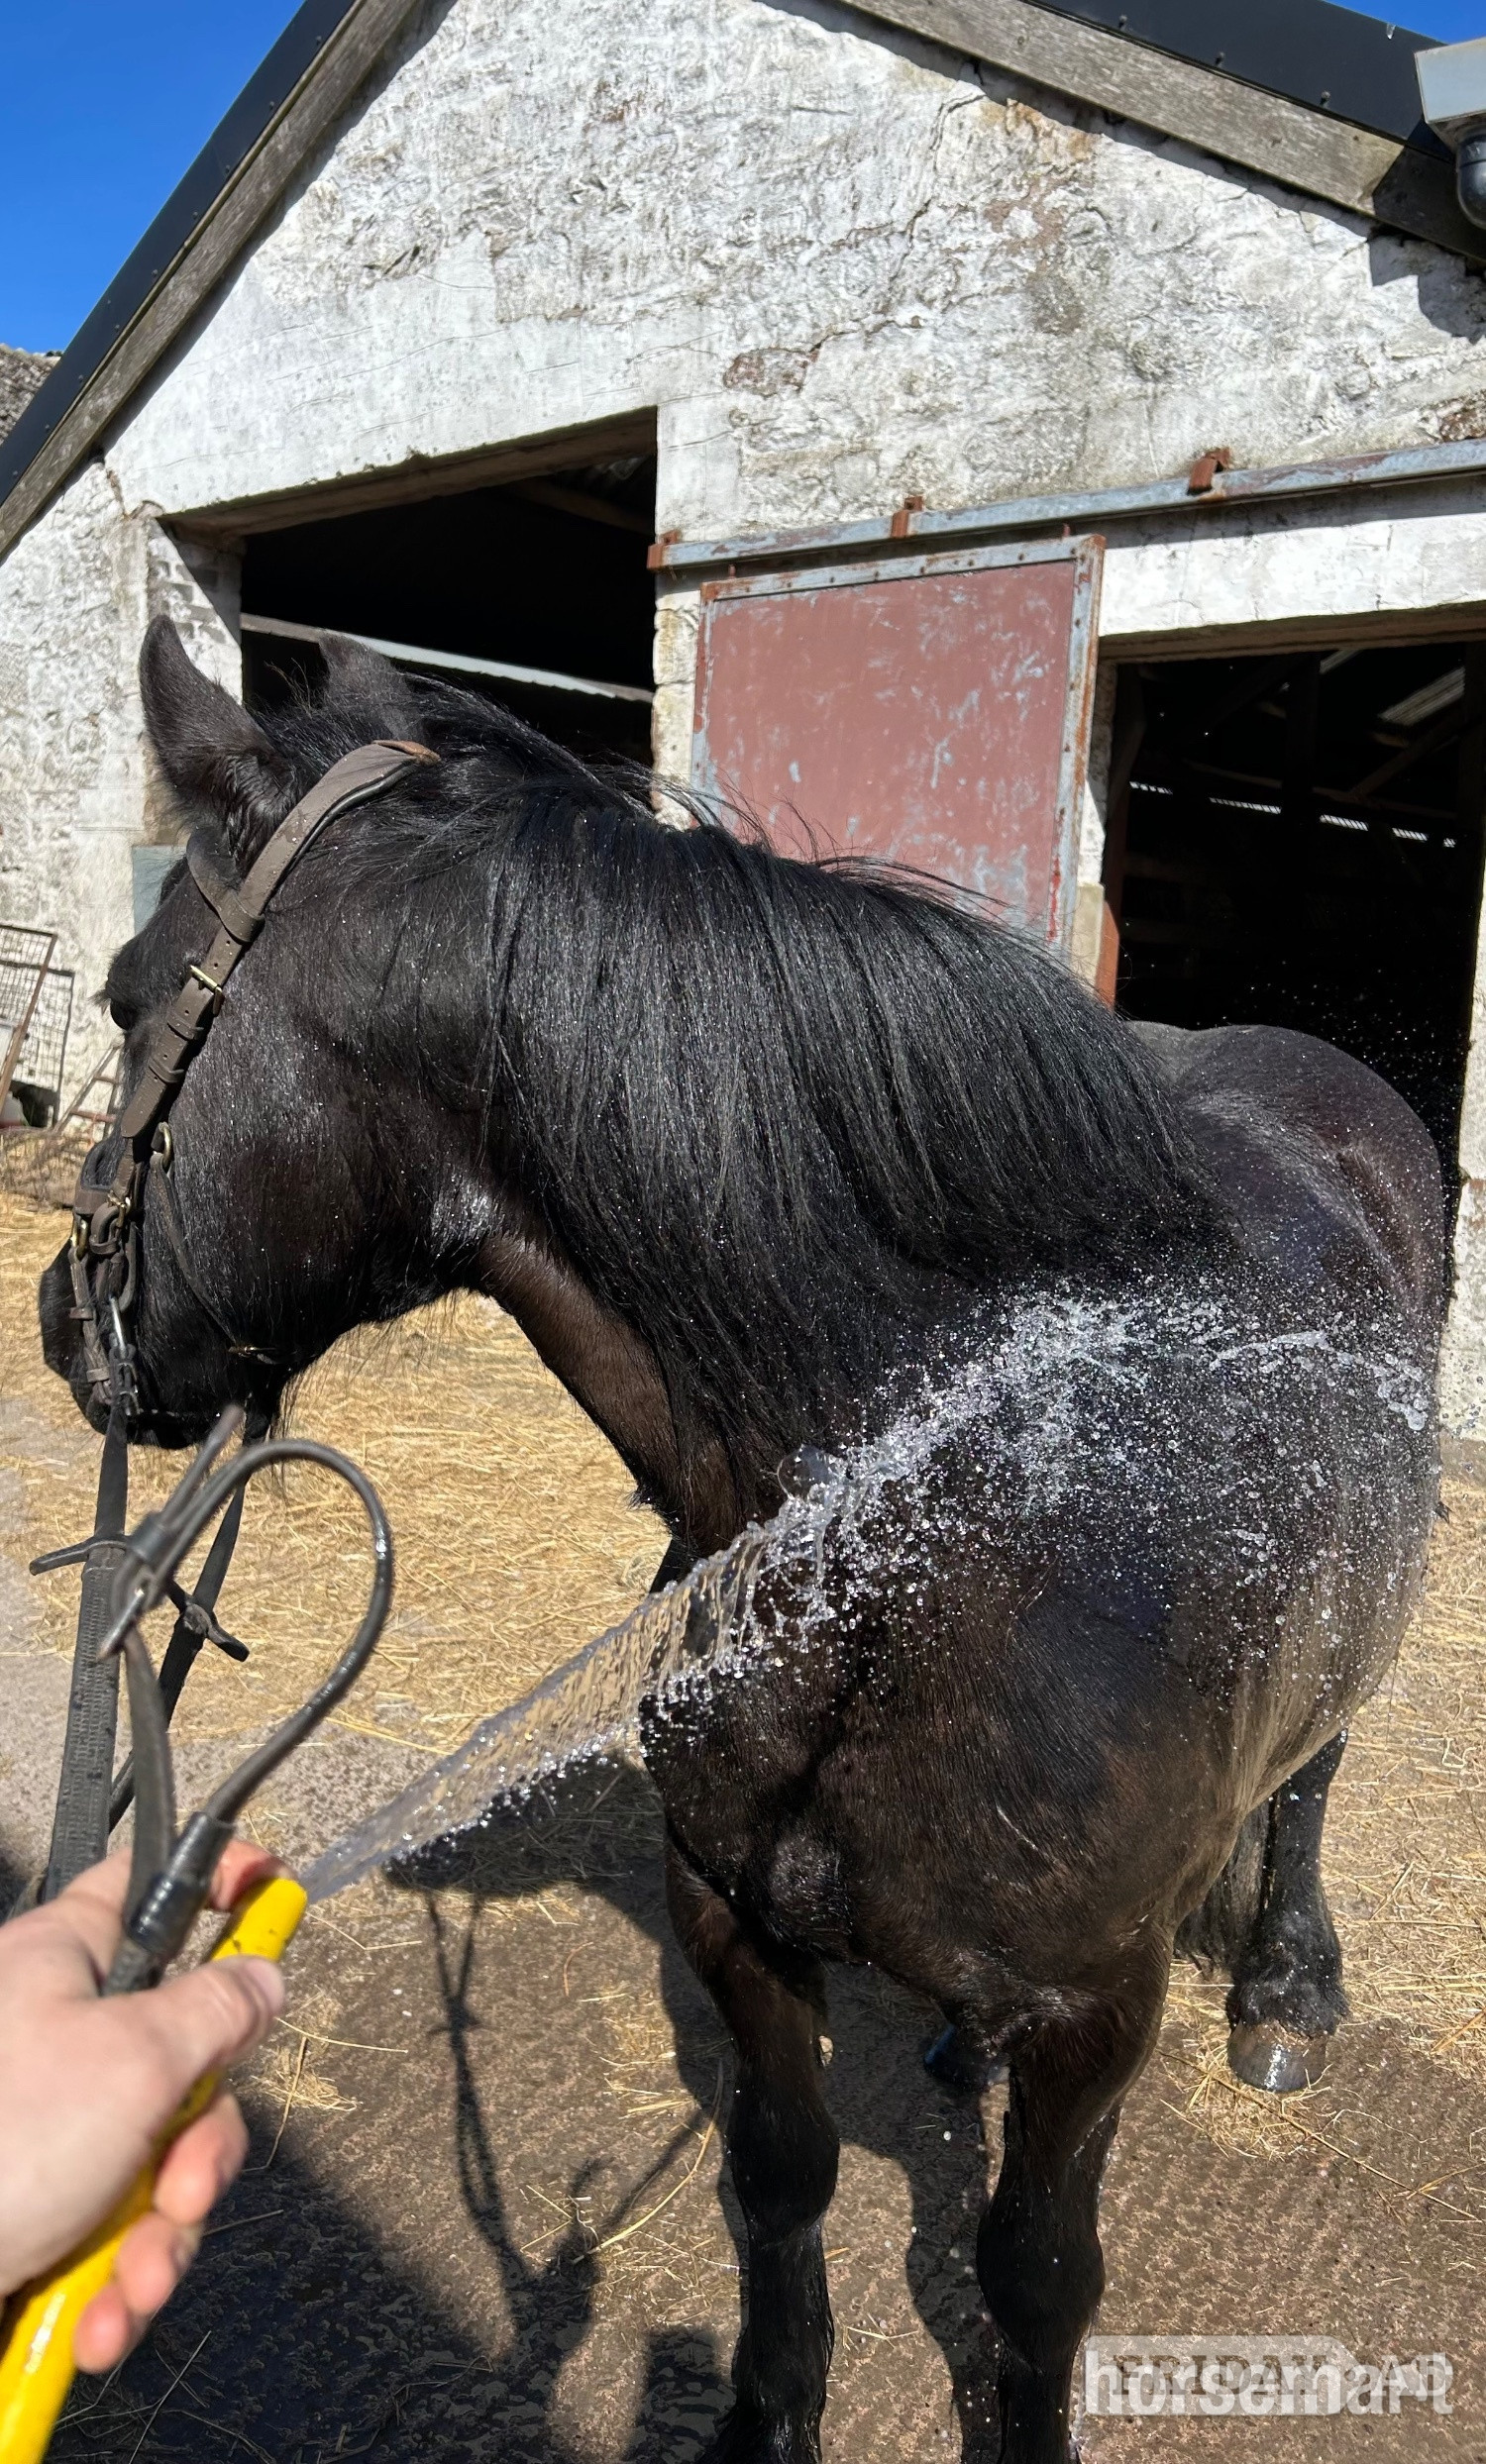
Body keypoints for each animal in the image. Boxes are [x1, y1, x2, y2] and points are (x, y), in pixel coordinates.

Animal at [41, 617, 1446, 2462]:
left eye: (134, 1000)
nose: (66, 1319)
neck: (946, 1539)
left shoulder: (1100, 2016)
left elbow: (1036, 2278)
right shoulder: (731, 1917)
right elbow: (778, 2181)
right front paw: (765, 2420)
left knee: (1317, 1774)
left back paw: (1286, 1991)